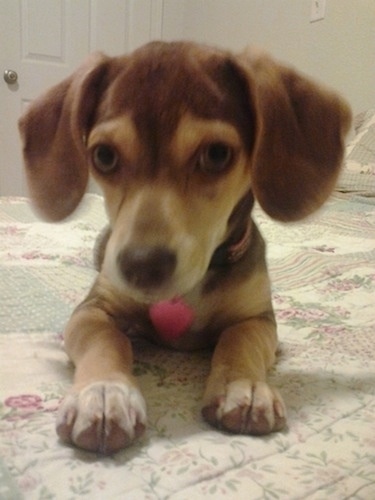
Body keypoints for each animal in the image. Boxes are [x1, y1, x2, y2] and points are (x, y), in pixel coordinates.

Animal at [18, 41, 352, 454]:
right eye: (104, 156)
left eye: (217, 154)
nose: (141, 265)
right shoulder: (92, 310)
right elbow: (107, 340)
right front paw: (104, 392)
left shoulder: (258, 319)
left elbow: (238, 340)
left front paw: (244, 387)